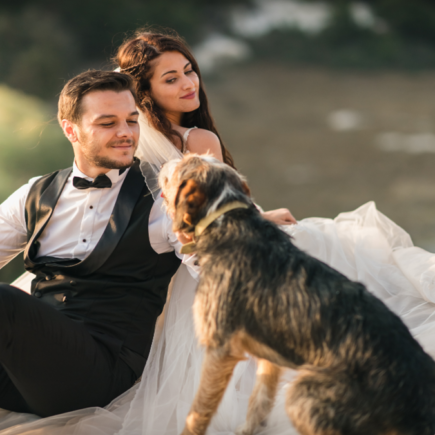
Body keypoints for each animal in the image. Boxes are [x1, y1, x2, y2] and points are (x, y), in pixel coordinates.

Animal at [158, 155, 435, 435]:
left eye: (185, 161)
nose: (166, 160)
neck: (227, 217)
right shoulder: (270, 353)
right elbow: (259, 398)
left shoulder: (220, 348)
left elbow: (197, 412)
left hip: (301, 394)